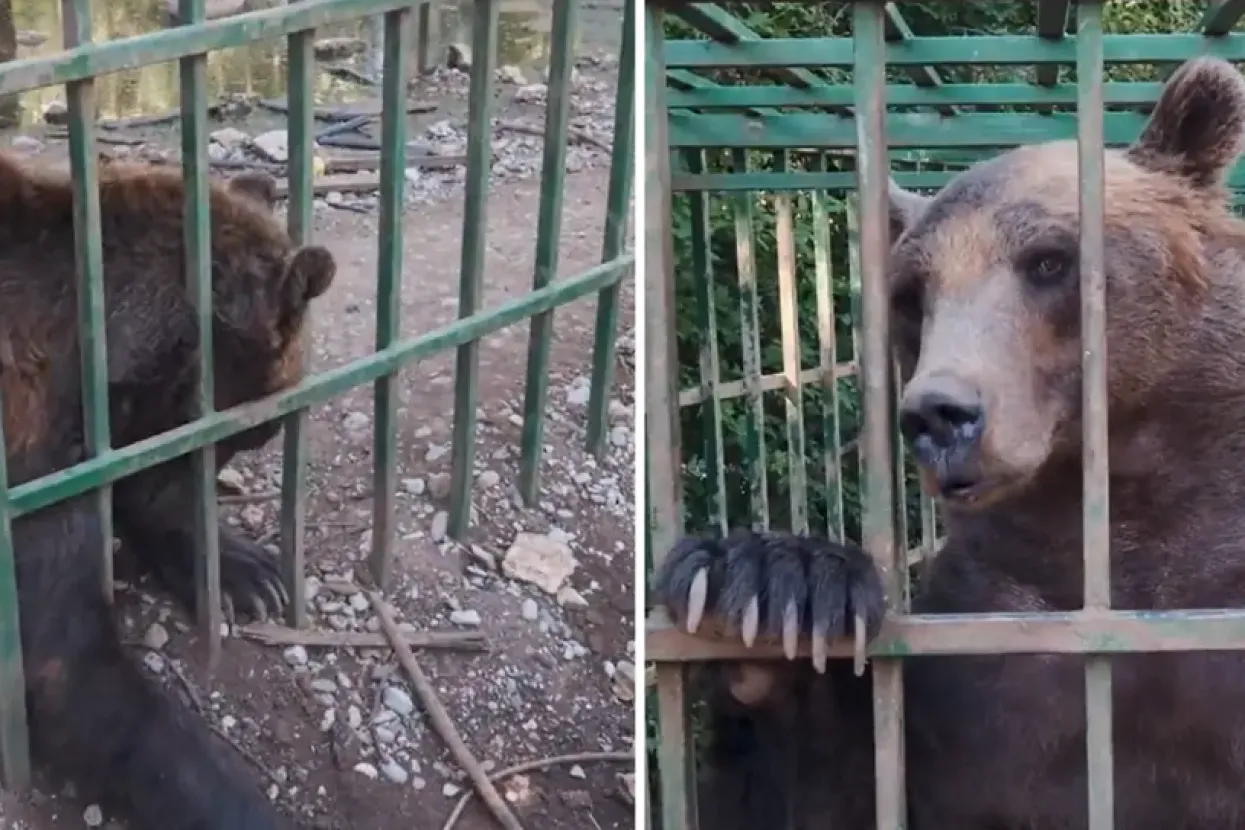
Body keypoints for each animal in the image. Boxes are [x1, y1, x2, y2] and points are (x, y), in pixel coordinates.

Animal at [657, 55, 1245, 826]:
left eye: (1048, 260)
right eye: (910, 294)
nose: (938, 414)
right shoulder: (986, 648)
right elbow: (823, 782)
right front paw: (767, 585)